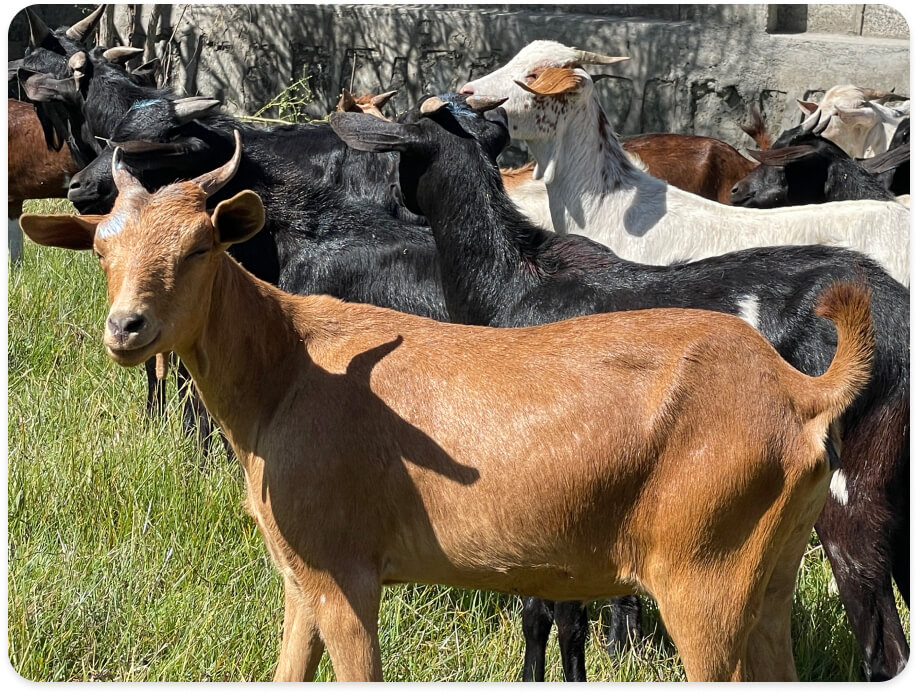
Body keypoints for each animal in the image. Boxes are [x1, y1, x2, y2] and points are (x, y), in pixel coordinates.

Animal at [19, 133, 874, 681]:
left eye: (200, 247)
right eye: (102, 249)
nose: (127, 328)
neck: (287, 370)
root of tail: (799, 393)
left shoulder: (346, 574)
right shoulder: (300, 577)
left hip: (704, 577)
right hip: (765, 581)